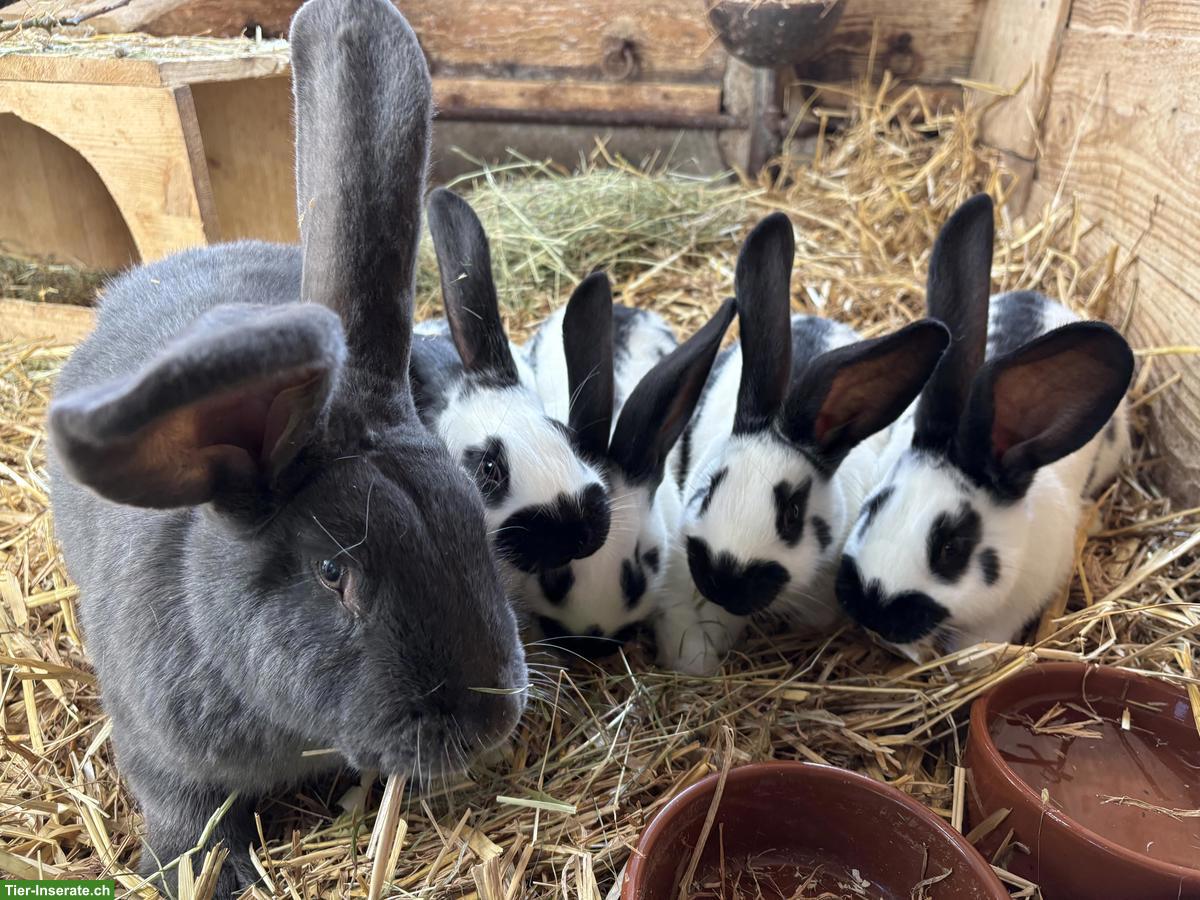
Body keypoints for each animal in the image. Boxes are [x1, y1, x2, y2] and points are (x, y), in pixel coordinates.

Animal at [45, 1, 526, 895]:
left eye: (474, 524)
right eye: (334, 572)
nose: (491, 716)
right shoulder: (160, 755)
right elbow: (187, 817)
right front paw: (197, 872)